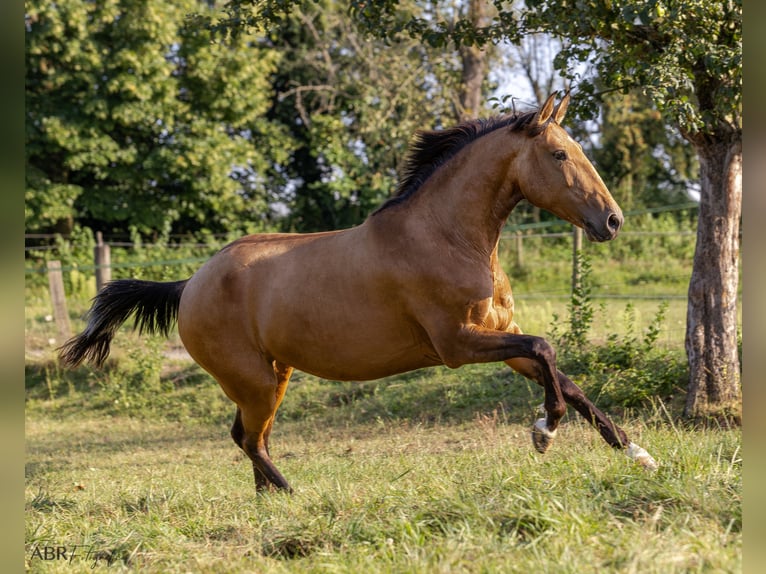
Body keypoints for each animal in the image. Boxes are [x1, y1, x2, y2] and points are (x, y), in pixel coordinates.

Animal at [59, 93, 657, 492]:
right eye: (559, 155)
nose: (612, 221)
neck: (446, 235)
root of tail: (189, 284)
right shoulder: (458, 345)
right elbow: (548, 350)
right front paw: (544, 432)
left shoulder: (499, 335)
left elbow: (565, 377)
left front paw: (636, 453)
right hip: (254, 381)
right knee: (250, 440)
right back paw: (292, 495)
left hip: (272, 376)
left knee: (248, 438)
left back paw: (270, 501)